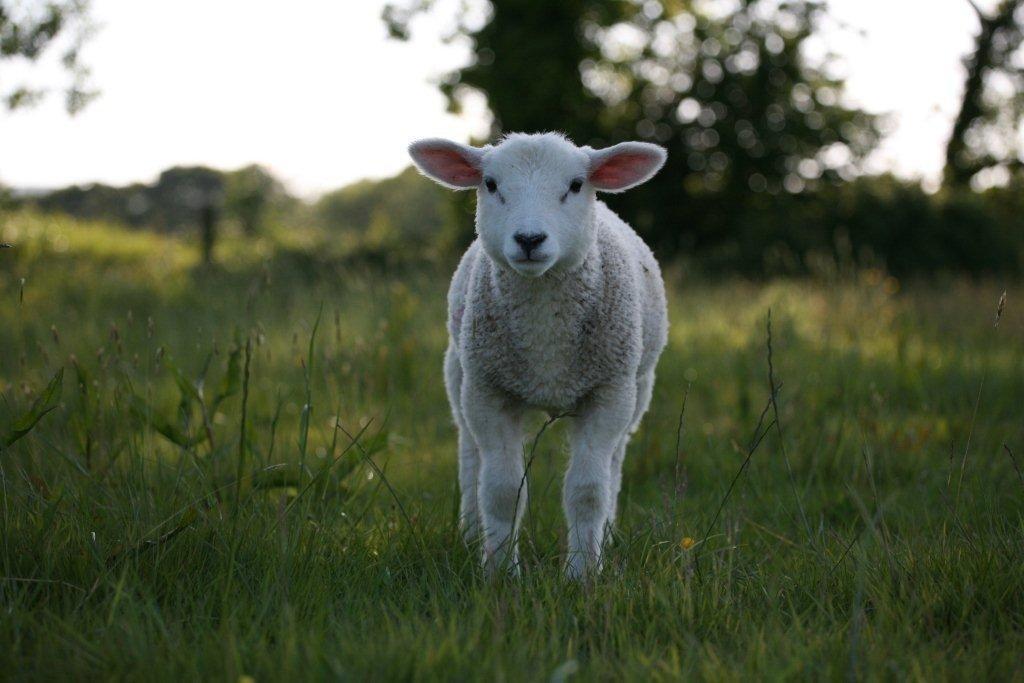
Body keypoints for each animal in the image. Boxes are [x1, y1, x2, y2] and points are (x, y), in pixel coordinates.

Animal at [407, 132, 671, 577]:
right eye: (491, 184)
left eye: (576, 185)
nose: (529, 240)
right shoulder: (487, 391)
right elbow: (501, 489)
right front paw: (499, 573)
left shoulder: (609, 392)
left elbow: (588, 490)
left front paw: (583, 575)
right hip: (458, 373)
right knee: (470, 458)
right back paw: (471, 534)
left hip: (639, 388)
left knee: (614, 464)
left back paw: (607, 536)